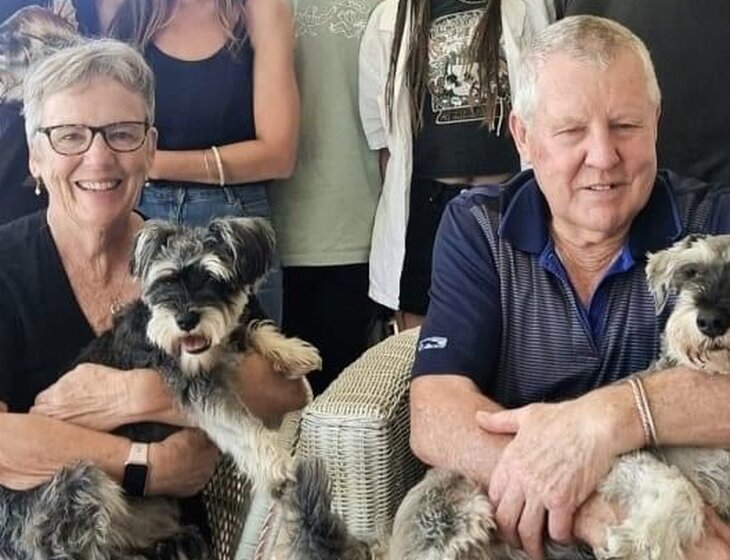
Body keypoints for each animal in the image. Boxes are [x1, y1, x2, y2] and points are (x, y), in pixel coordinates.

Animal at [0, 217, 321, 560]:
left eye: (212, 277)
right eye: (165, 281)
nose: (185, 321)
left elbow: (247, 328)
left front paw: (291, 351)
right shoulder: (196, 386)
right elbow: (239, 426)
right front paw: (277, 466)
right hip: (81, 485)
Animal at [279, 233, 730, 560]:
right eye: (691, 272)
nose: (711, 320)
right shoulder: (616, 462)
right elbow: (681, 490)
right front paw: (636, 542)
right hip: (453, 523)